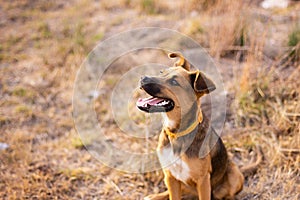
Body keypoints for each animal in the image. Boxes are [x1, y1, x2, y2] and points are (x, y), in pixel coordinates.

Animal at [137, 52, 250, 199]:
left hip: (234, 174)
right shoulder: (170, 176)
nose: (143, 78)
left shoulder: (203, 180)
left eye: (174, 82)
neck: (176, 133)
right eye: (161, 72)